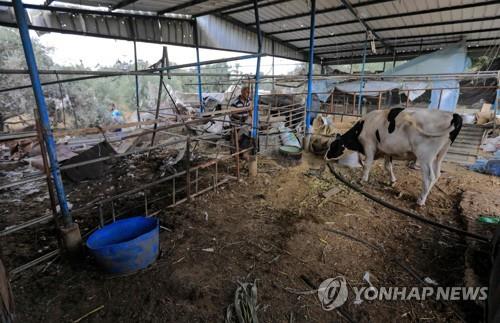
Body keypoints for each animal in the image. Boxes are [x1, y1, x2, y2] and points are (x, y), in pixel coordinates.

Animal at [326, 107, 462, 206]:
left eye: (333, 146)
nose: (326, 156)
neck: (361, 128)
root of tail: (453, 115)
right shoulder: (387, 151)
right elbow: (388, 167)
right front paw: (392, 181)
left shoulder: (369, 146)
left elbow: (367, 164)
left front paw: (363, 179)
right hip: (439, 156)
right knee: (437, 175)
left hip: (425, 156)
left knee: (429, 177)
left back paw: (421, 200)